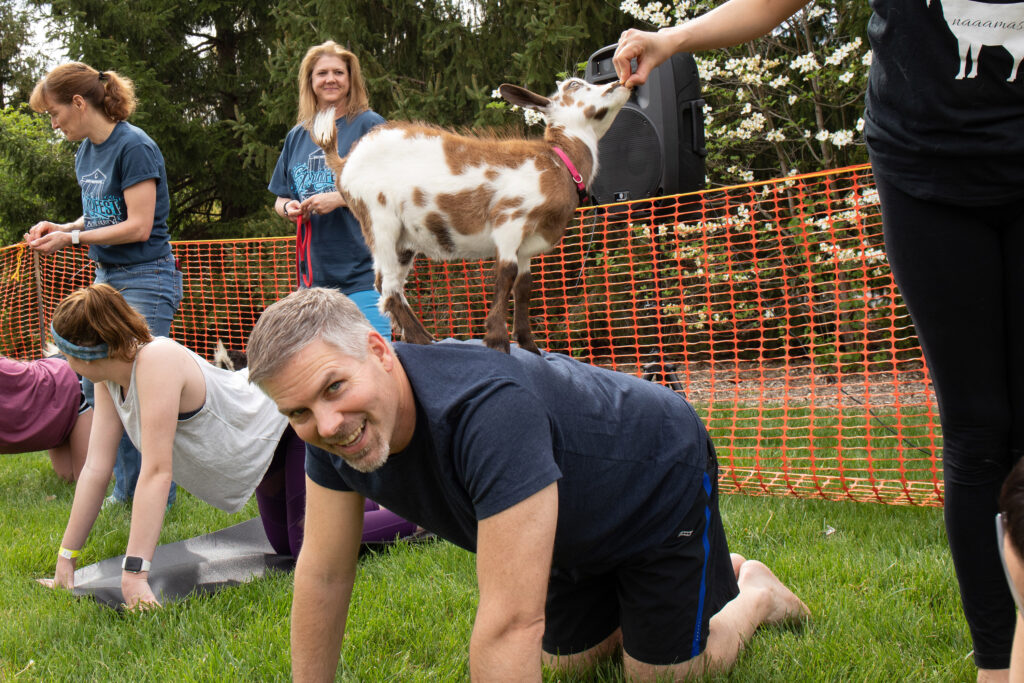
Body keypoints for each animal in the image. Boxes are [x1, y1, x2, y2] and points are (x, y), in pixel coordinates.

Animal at [311, 78, 630, 356]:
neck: (557, 161)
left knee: (387, 283)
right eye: (575, 85)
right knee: (388, 287)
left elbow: (524, 287)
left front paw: (529, 346)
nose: (619, 83)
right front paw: (497, 340)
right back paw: (421, 341)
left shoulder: (528, 243)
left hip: (403, 239)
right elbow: (506, 274)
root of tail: (344, 162)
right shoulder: (510, 218)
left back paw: (424, 337)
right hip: (379, 219)